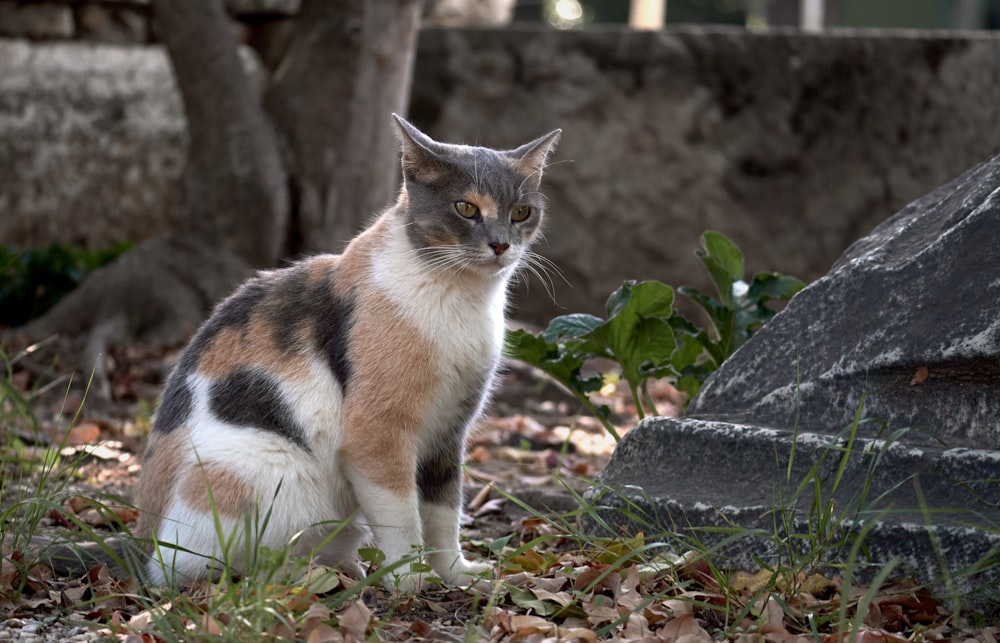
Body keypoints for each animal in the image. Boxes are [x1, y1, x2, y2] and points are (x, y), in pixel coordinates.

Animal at [133, 117, 560, 592]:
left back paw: (345, 567)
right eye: (466, 208)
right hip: (264, 469)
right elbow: (401, 515)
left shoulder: (450, 430)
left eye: (521, 212)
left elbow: (443, 510)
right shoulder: (376, 433)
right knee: (224, 571)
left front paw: (456, 573)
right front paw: (408, 580)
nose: (501, 244)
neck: (463, 300)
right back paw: (309, 575)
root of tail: (147, 548)